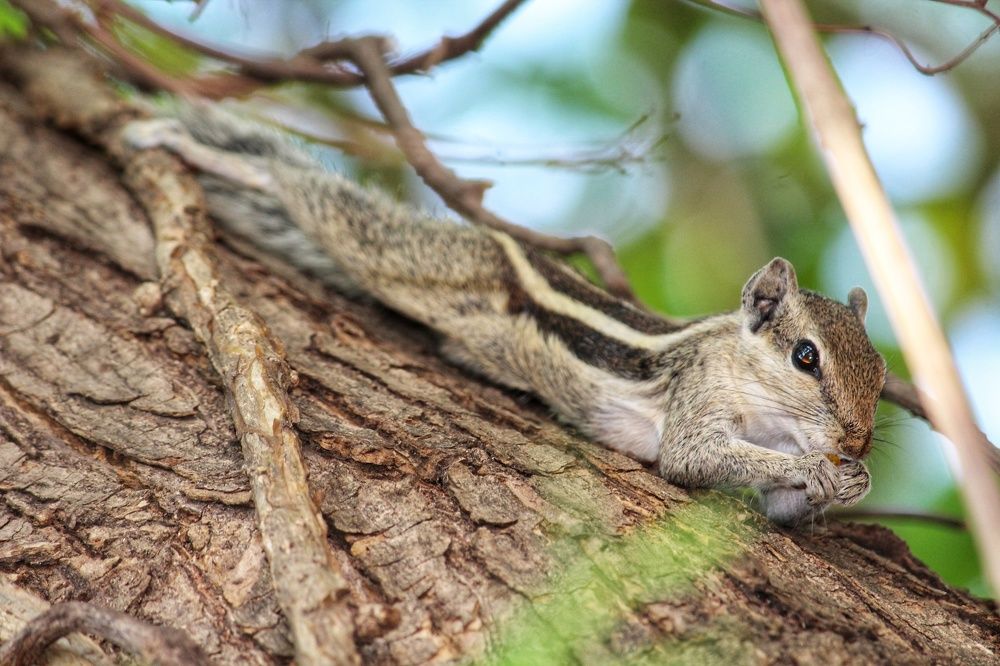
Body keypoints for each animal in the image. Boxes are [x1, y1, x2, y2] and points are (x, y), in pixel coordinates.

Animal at [123, 104, 887, 525]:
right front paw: (824, 470)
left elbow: (782, 507)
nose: (856, 439)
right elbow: (693, 457)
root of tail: (493, 242)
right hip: (420, 261)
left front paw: (849, 481)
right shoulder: (697, 396)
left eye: (881, 375)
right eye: (806, 357)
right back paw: (187, 145)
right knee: (310, 197)